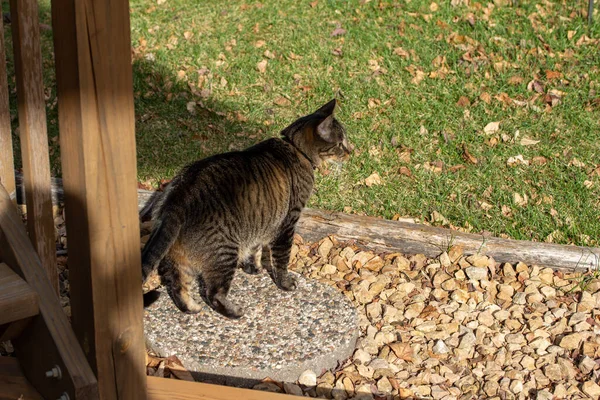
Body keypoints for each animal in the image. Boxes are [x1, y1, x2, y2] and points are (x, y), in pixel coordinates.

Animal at [141, 99, 352, 318]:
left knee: (177, 284)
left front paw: (254, 268)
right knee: (213, 293)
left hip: (181, 257)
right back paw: (234, 312)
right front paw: (284, 283)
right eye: (340, 143)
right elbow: (281, 259)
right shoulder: (287, 223)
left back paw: (191, 308)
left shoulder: (261, 219)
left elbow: (254, 247)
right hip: (225, 252)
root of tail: (179, 194)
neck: (295, 147)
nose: (350, 152)